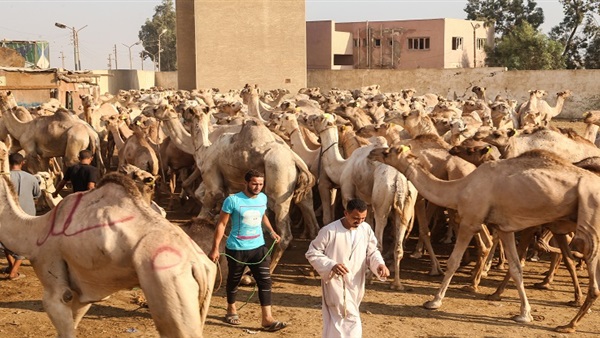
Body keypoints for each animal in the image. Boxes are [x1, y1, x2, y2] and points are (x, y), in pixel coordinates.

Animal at [0, 137, 217, 338]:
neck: (34, 230)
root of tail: (196, 265)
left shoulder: (52, 276)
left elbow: (62, 316)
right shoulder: (82, 292)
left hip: (169, 286)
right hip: (201, 291)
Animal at [368, 147, 600, 334]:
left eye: (388, 152)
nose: (372, 153)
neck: (459, 189)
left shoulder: (470, 221)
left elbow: (453, 262)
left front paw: (434, 301)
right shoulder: (504, 227)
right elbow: (516, 268)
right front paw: (524, 313)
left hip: (589, 221)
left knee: (590, 266)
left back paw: (569, 324)